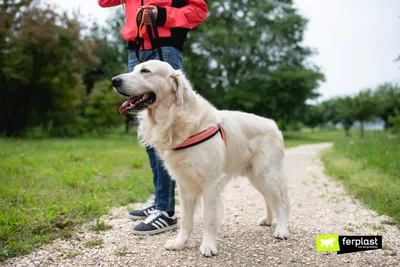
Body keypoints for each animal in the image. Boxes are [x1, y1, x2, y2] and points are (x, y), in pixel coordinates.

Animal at [112, 60, 290, 258]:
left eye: (145, 71)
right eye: (134, 69)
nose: (114, 80)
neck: (175, 119)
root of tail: (273, 125)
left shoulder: (210, 184)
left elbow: (208, 219)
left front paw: (208, 246)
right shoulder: (184, 184)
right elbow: (186, 220)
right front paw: (180, 243)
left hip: (267, 175)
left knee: (280, 203)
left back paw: (281, 230)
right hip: (257, 177)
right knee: (269, 200)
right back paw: (268, 220)